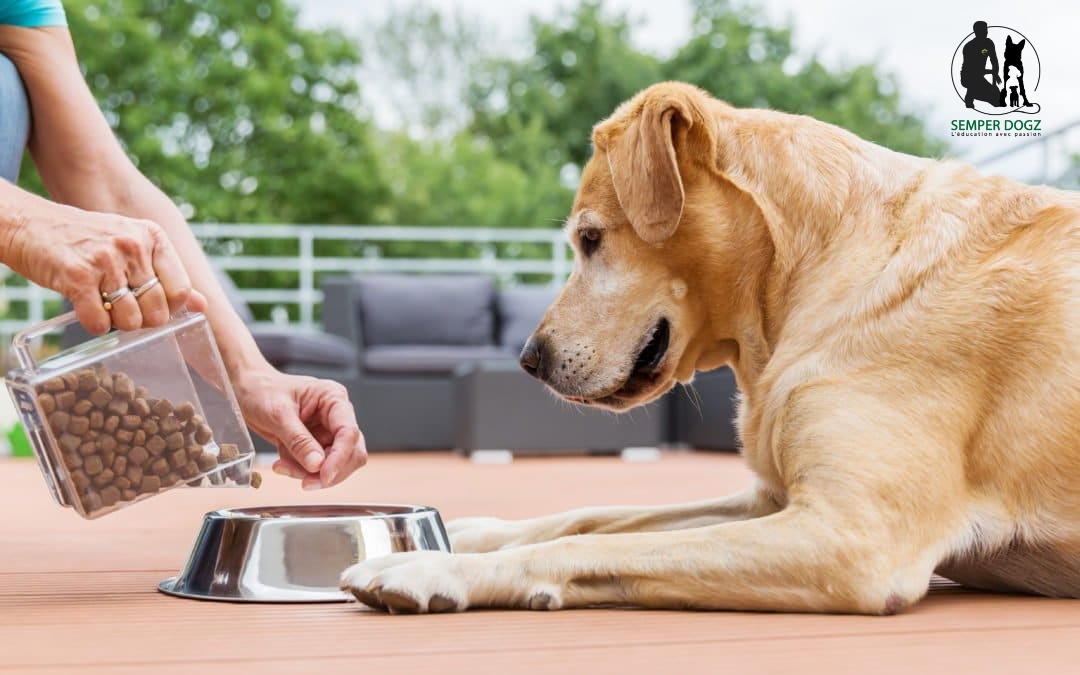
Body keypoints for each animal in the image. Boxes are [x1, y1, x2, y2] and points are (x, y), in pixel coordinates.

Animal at [339, 81, 1080, 613]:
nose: (529, 359)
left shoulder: (852, 536)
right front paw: (467, 531)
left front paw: (431, 564)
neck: (814, 269)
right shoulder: (770, 501)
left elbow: (580, 545)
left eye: (590, 239)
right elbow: (591, 518)